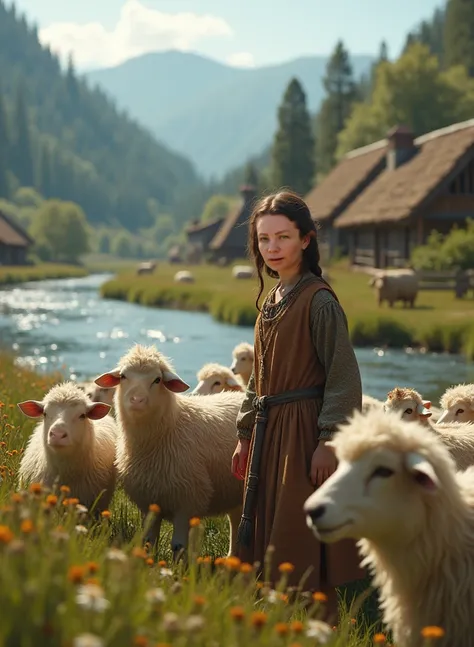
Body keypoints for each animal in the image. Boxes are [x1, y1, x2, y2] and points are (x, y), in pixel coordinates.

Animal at [95, 344, 246, 560]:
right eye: (123, 376)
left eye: (157, 379)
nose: (137, 400)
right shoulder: (149, 501)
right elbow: (148, 541)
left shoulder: (187, 501)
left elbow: (178, 546)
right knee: (235, 519)